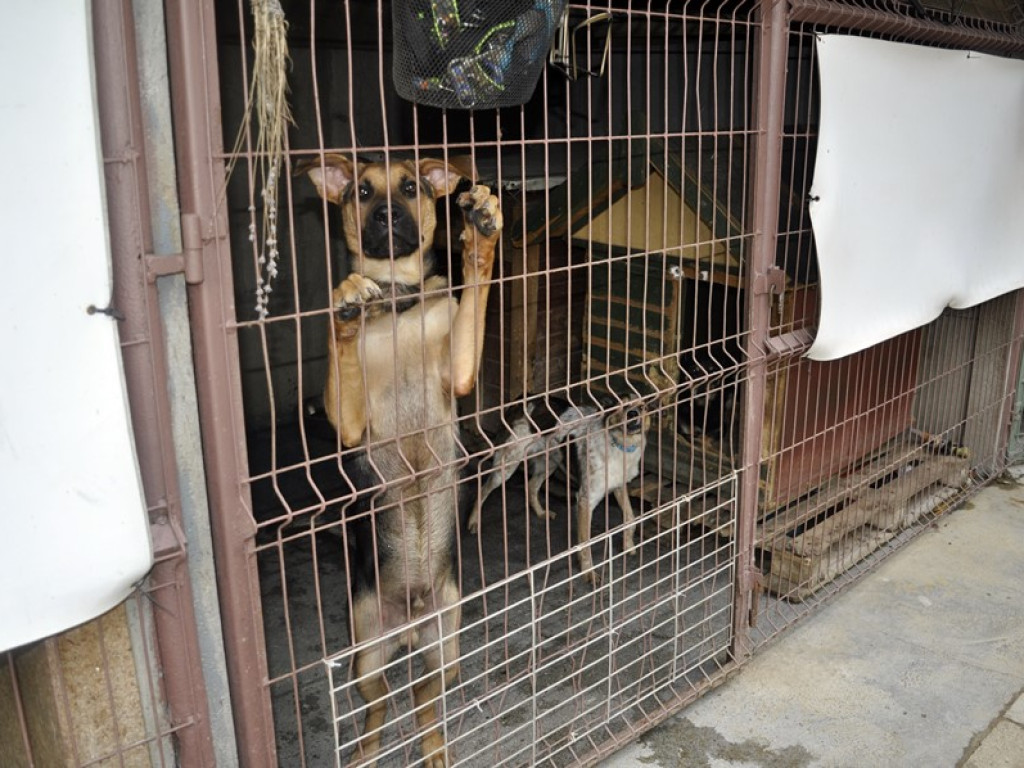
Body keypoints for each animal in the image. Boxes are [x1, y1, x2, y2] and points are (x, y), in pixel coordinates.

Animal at [296, 154, 499, 768]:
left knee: (426, 701)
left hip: (447, 644)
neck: (398, 303)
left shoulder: (460, 368)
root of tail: (408, 625)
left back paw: (434, 749)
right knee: (378, 704)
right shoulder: (346, 420)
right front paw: (346, 304)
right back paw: (366, 750)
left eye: (411, 187)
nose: (387, 214)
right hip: (365, 652)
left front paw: (483, 233)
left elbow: (475, 288)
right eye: (361, 192)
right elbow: (342, 346)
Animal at [468, 399, 651, 585]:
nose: (633, 413)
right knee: (482, 489)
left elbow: (631, 519)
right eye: (621, 404)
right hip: (506, 466)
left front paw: (628, 545)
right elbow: (585, 543)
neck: (622, 445)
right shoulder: (585, 500)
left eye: (642, 406)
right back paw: (474, 521)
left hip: (550, 462)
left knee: (531, 485)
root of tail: (520, 402)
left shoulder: (619, 485)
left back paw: (541, 512)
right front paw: (588, 573)